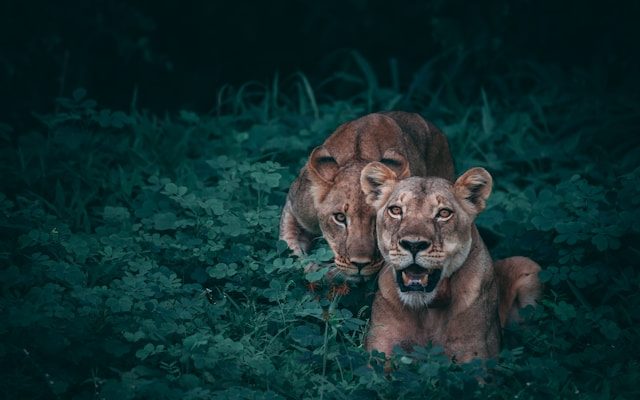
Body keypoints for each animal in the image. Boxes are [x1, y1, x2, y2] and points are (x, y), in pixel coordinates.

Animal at [360, 162, 540, 362]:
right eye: (396, 210)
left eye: (444, 213)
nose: (413, 244)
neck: (427, 310)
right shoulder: (381, 345)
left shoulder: (475, 351)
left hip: (527, 265)